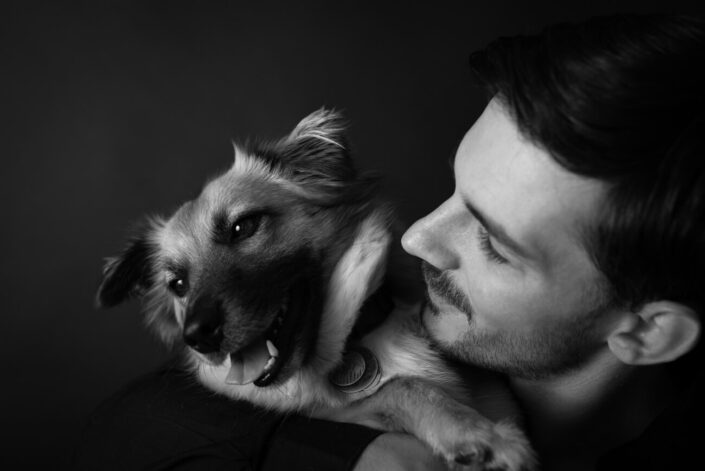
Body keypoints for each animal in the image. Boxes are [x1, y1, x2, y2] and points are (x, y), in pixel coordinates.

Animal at [96, 109, 535, 470]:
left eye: (242, 226)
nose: (198, 336)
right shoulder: (330, 413)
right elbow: (400, 387)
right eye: (178, 284)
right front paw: (479, 435)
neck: (355, 340)